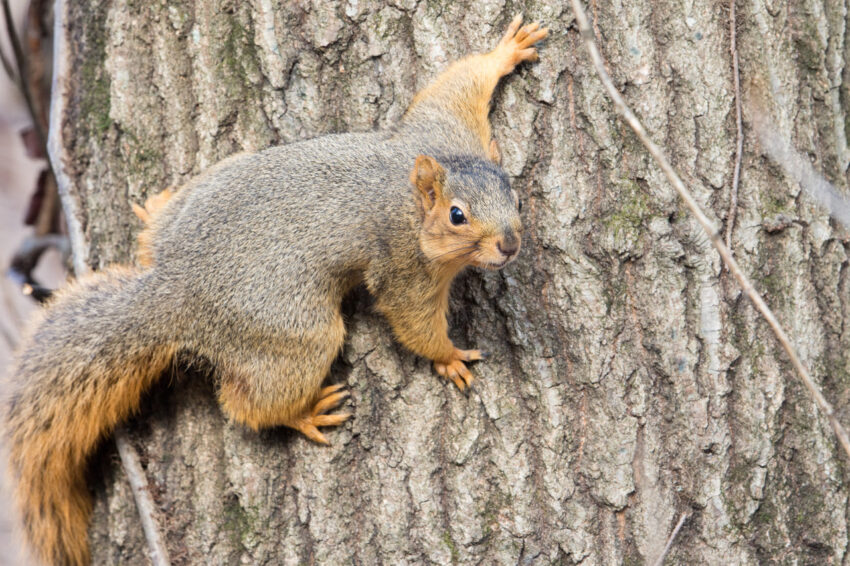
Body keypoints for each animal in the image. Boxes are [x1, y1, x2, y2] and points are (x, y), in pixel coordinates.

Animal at [4, 15, 547, 566]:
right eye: (457, 216)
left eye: (515, 194)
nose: (509, 245)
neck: (410, 200)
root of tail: (175, 290)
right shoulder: (403, 263)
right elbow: (411, 316)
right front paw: (448, 355)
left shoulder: (443, 128)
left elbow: (453, 86)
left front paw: (505, 51)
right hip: (293, 331)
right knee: (248, 404)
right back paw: (302, 414)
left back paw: (154, 210)